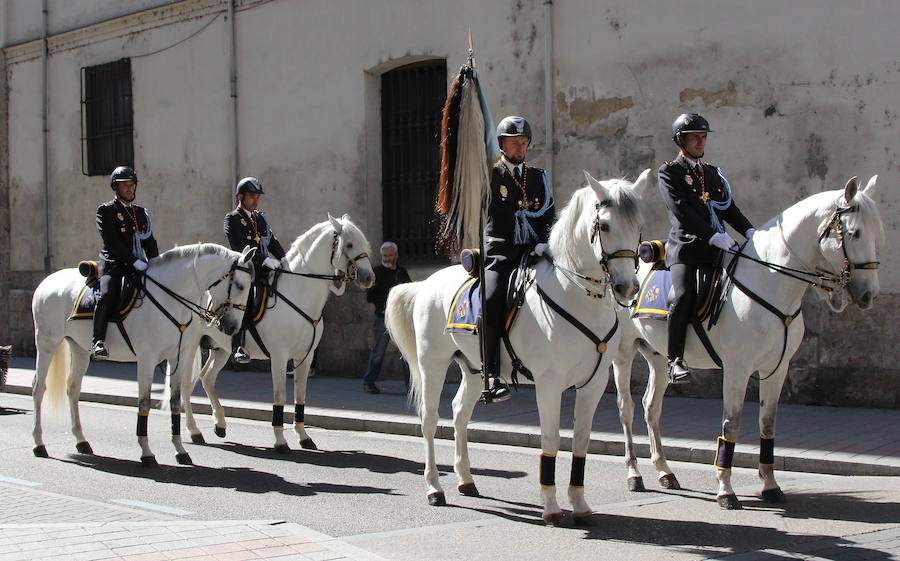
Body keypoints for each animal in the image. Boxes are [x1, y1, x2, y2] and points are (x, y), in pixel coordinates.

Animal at [31, 243, 255, 466]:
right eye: (240, 286)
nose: (232, 327)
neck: (171, 298)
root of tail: (47, 281)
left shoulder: (177, 357)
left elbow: (175, 400)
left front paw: (180, 450)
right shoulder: (146, 359)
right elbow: (144, 402)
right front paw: (146, 452)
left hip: (79, 348)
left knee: (73, 389)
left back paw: (81, 440)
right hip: (47, 343)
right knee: (39, 388)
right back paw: (39, 443)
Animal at [183, 212, 372, 452]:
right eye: (349, 244)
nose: (369, 277)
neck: (299, 292)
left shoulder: (305, 356)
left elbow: (300, 395)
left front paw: (303, 436)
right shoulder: (279, 356)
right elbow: (280, 396)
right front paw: (280, 440)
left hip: (221, 348)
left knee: (206, 377)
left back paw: (220, 424)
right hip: (189, 348)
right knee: (184, 385)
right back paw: (194, 430)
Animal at [384, 168, 652, 524]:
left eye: (639, 225)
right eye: (604, 226)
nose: (627, 288)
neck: (577, 296)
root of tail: (426, 283)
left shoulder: (594, 384)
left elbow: (581, 440)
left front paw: (579, 504)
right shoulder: (549, 384)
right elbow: (551, 439)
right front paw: (552, 507)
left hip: (474, 369)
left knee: (459, 413)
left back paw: (466, 479)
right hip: (433, 364)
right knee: (429, 419)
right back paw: (434, 488)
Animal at [612, 175, 884, 508]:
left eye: (877, 232)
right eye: (855, 233)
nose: (868, 295)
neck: (769, 281)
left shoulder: (776, 369)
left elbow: (767, 424)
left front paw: (770, 485)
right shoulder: (737, 369)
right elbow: (732, 423)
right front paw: (725, 489)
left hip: (658, 357)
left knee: (651, 406)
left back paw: (665, 471)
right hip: (623, 353)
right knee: (626, 408)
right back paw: (634, 475)